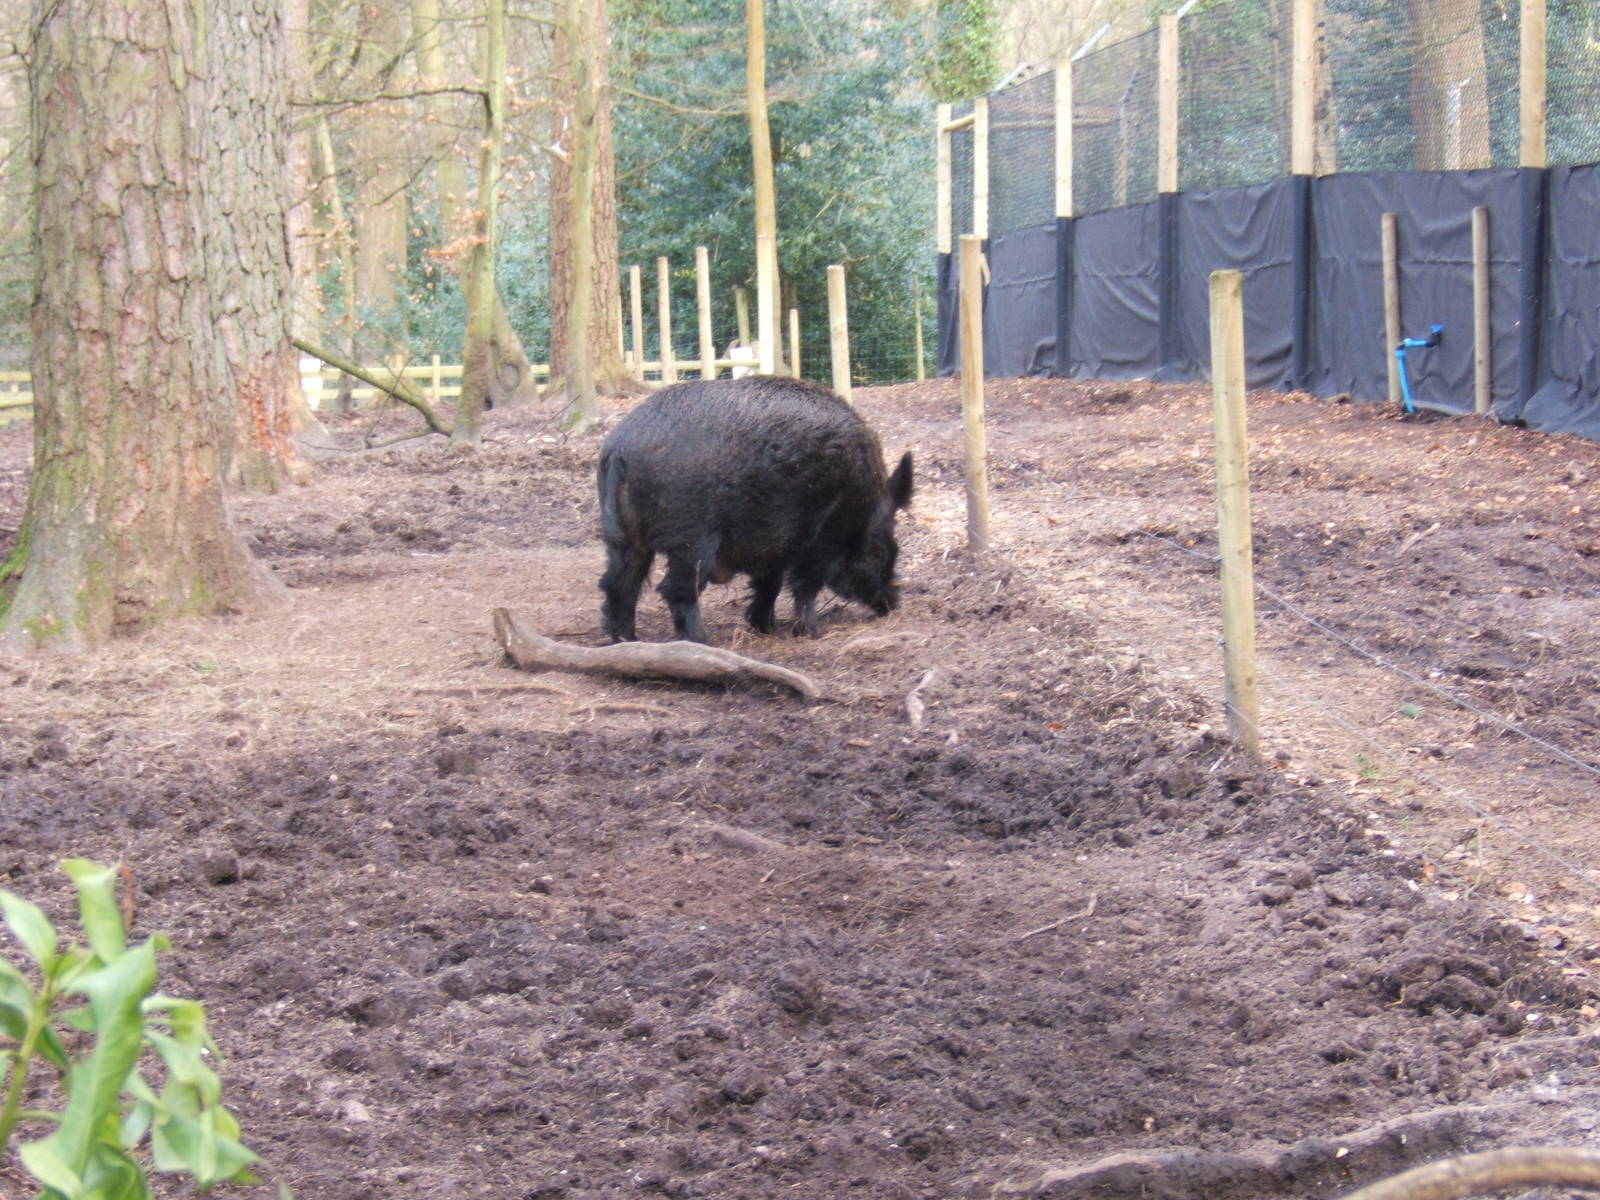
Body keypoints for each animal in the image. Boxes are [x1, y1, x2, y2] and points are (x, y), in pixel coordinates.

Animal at [597, 376, 913, 643]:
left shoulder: (772, 548)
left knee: (617, 582)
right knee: (675, 588)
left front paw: (766, 629)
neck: (860, 507)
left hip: (622, 536)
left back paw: (626, 639)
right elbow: (804, 585)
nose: (894, 603)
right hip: (691, 538)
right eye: (879, 551)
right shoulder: (819, 537)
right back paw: (702, 641)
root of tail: (620, 449)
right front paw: (812, 633)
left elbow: (769, 585)